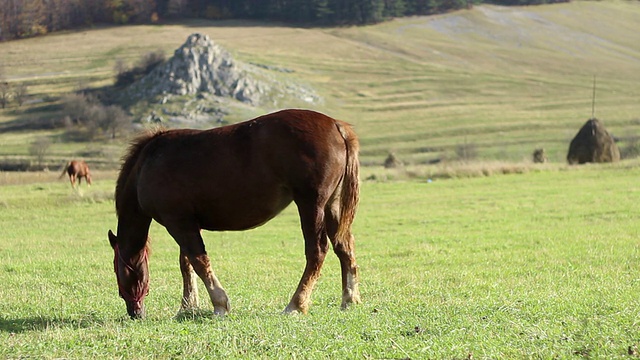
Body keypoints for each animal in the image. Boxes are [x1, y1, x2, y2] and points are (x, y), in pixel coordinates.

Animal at [107, 109, 362, 318]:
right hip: (331, 206)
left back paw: (296, 304)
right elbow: (186, 263)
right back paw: (349, 299)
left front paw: (219, 304)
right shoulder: (186, 222)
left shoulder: (178, 223)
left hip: (310, 204)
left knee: (317, 251)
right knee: (343, 246)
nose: (134, 313)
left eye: (118, 271)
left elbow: (199, 261)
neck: (147, 164)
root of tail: (336, 125)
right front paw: (188, 306)